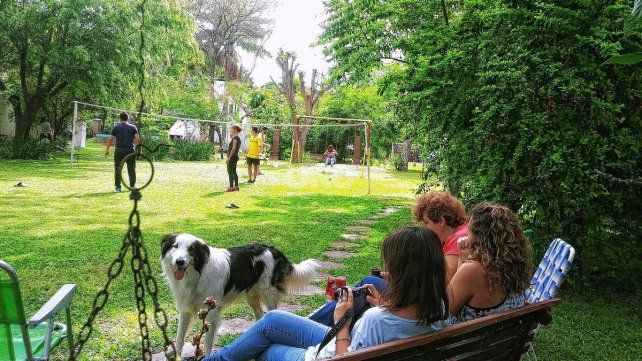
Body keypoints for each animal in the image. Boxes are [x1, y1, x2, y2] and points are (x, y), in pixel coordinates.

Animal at [159, 233, 318, 354]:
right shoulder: (185, 310)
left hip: (269, 293)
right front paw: (177, 355)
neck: (197, 273)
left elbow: (208, 341)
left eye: (191, 249)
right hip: (252, 295)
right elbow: (179, 338)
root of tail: (273, 249)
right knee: (259, 314)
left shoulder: (212, 313)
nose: (179, 262)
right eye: (175, 246)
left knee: (272, 312)